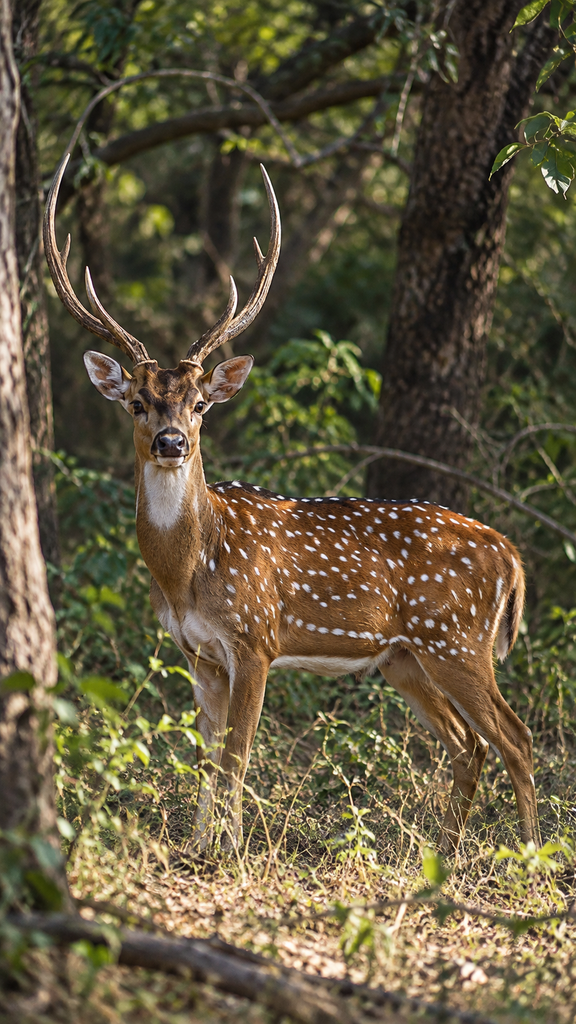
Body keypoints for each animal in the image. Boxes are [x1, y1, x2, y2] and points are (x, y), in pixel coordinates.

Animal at [44, 154, 541, 856]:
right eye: (138, 402)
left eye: (201, 404)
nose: (171, 442)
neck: (188, 571)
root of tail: (512, 556)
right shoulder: (197, 653)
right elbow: (207, 756)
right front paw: (199, 847)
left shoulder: (255, 636)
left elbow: (237, 756)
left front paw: (229, 853)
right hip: (406, 657)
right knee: (469, 744)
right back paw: (444, 855)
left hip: (456, 638)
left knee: (515, 738)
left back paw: (528, 859)